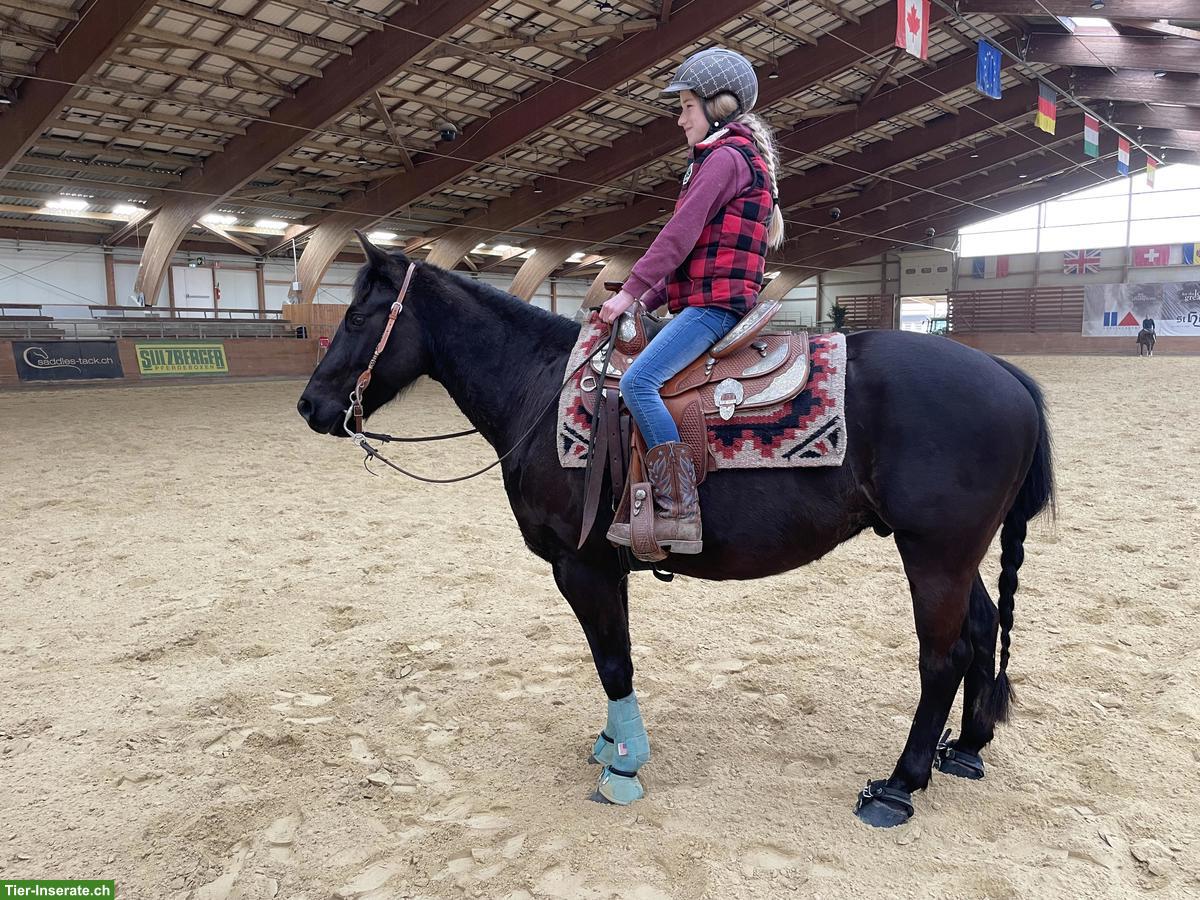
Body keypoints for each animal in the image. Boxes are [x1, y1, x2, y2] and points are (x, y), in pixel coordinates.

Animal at [297, 234, 1055, 828]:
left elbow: (613, 662)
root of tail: (1007, 374)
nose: (310, 406)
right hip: (954, 554)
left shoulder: (582, 566)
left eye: (359, 314)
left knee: (942, 657)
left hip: (934, 554)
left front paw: (624, 769)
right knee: (982, 628)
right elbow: (614, 659)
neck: (540, 390)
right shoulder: (602, 568)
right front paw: (611, 745)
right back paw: (965, 747)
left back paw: (899, 786)